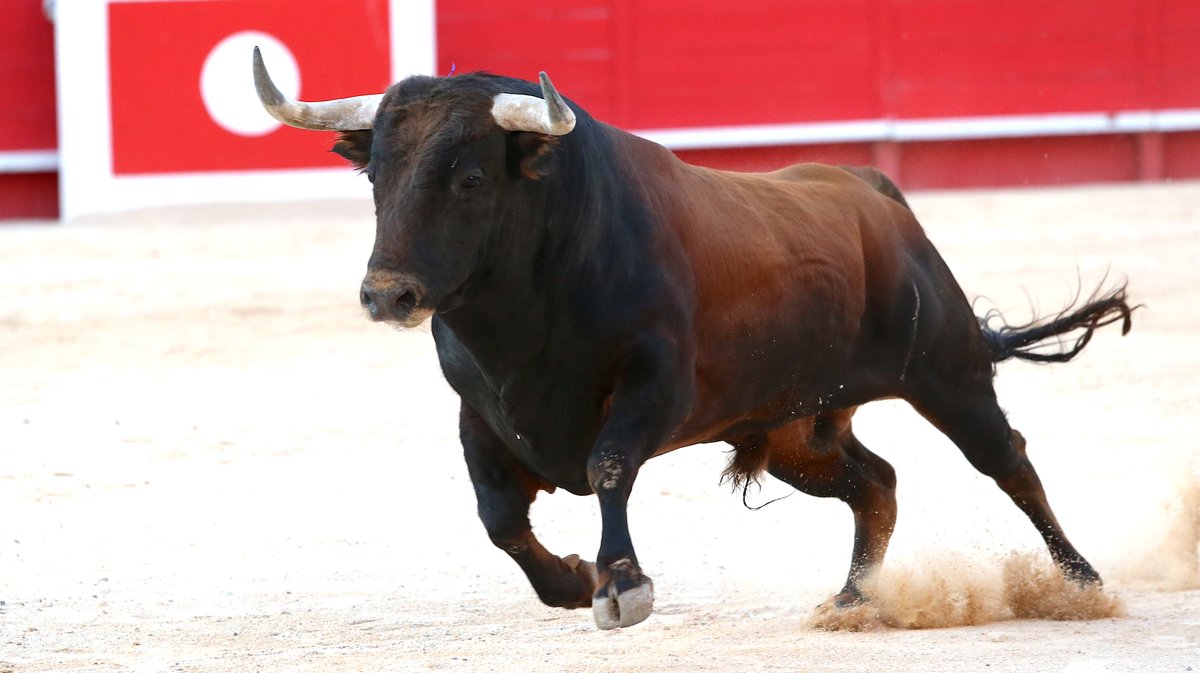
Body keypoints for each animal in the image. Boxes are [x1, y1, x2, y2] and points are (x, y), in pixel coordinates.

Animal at [250, 51, 1132, 628]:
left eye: (468, 178)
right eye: (375, 175)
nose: (386, 294)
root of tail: (875, 194)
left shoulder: (653, 383)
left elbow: (607, 465)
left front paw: (620, 584)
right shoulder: (480, 410)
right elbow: (497, 514)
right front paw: (571, 579)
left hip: (948, 373)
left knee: (1008, 461)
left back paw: (1081, 583)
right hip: (796, 429)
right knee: (876, 482)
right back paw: (853, 599)